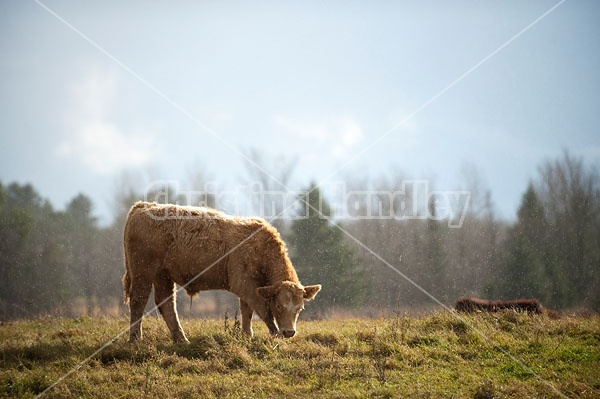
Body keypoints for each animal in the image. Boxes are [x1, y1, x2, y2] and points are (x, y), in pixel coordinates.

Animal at [120, 203, 318, 344]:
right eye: (278, 306)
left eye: (300, 308)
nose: (289, 332)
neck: (261, 248)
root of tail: (144, 206)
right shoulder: (244, 284)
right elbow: (262, 309)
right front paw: (274, 334)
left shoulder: (248, 287)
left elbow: (247, 310)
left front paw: (247, 335)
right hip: (143, 272)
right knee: (139, 301)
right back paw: (136, 338)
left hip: (163, 275)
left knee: (166, 303)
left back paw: (181, 339)